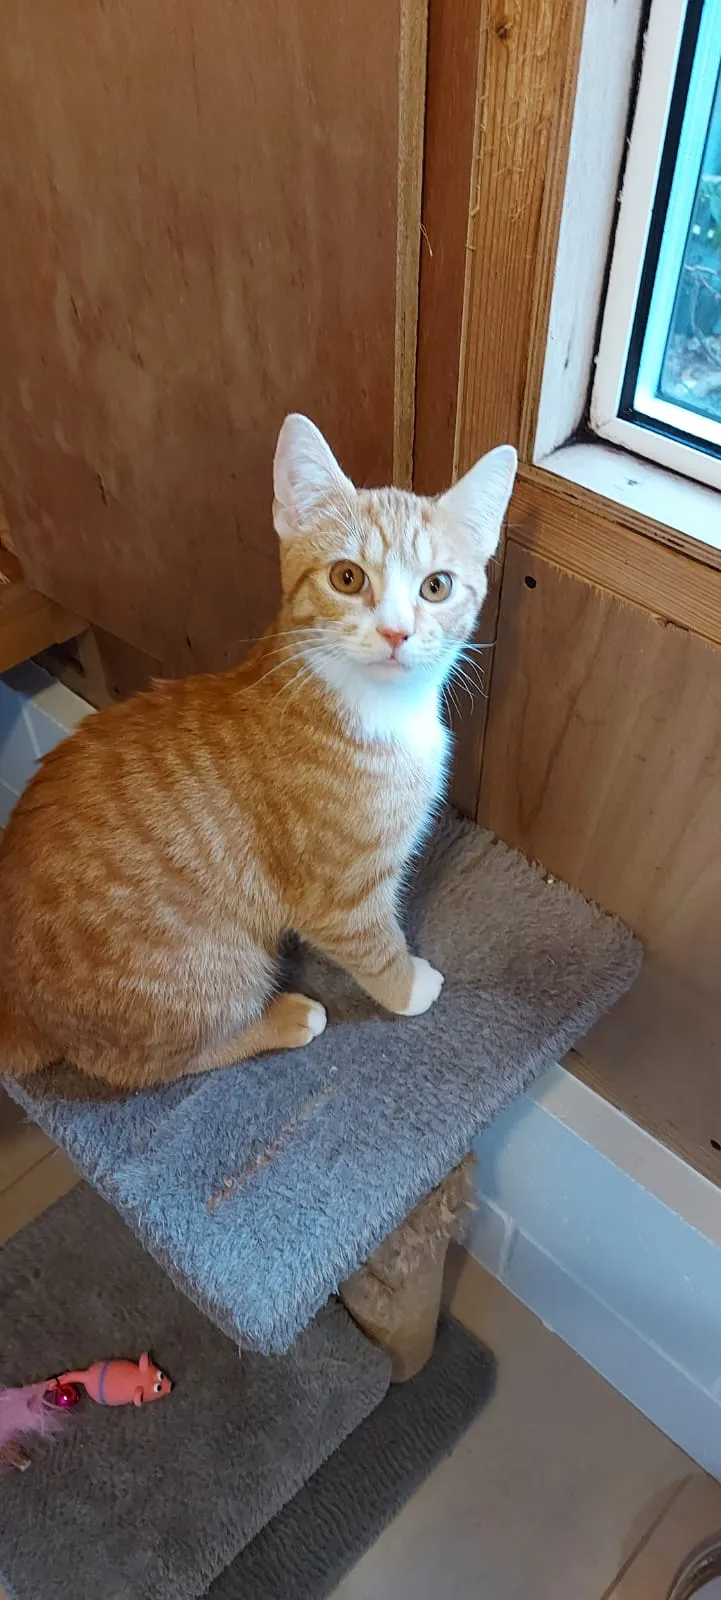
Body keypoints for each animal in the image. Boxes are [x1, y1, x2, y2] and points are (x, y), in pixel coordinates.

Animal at [0, 415, 516, 1090]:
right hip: (212, 972)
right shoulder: (339, 898)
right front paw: (408, 987)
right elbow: (376, 947)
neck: (381, 712)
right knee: (142, 1064)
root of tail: (22, 1005)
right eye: (347, 577)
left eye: (437, 587)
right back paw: (285, 1019)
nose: (397, 632)